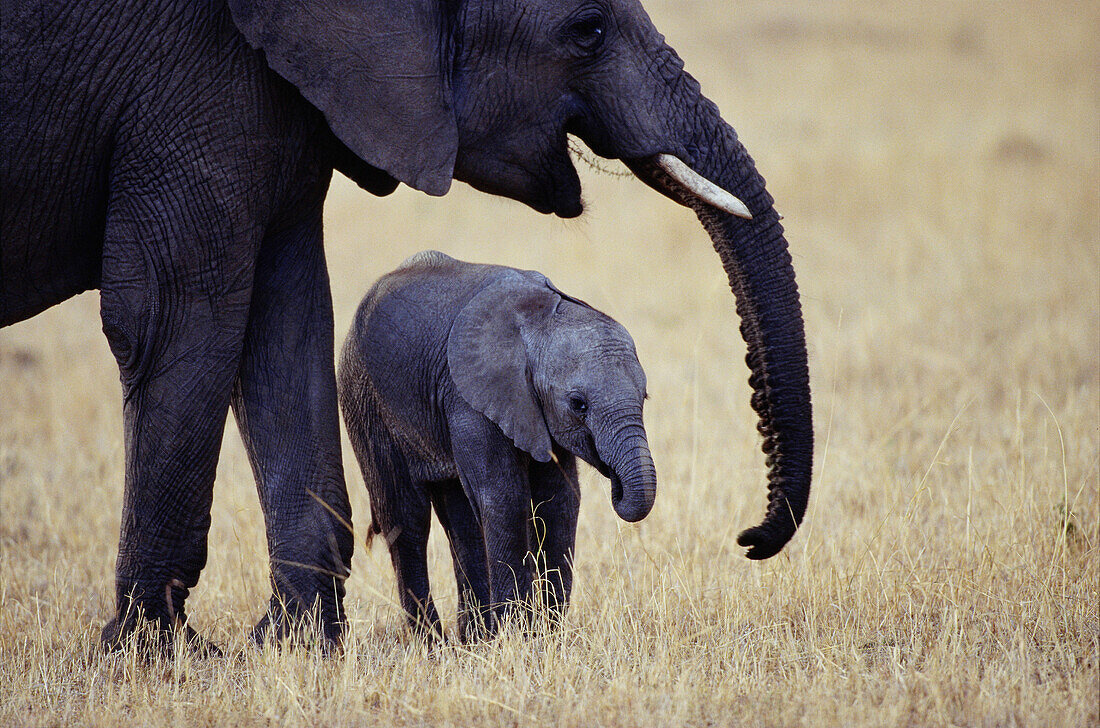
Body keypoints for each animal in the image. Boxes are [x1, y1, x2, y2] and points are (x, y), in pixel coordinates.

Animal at [338, 254, 655, 642]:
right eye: (578, 404)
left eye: (644, 397)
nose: (616, 484)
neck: (538, 321)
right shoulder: (468, 399)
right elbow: (505, 497)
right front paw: (516, 637)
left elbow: (559, 500)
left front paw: (544, 635)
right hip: (363, 398)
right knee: (406, 517)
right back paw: (433, 644)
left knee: (459, 519)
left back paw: (473, 639)